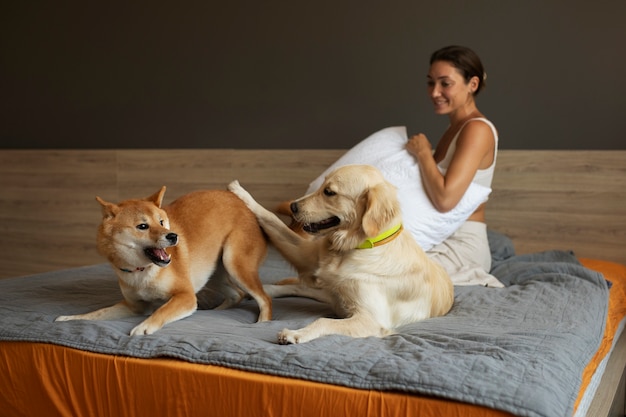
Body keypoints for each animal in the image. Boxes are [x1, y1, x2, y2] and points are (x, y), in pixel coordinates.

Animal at [53, 185, 268, 334]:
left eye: (162, 221)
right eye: (142, 226)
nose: (173, 236)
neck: (141, 272)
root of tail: (241, 202)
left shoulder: (185, 296)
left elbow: (161, 311)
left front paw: (143, 327)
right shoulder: (134, 306)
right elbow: (97, 313)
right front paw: (72, 318)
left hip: (234, 264)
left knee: (263, 299)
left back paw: (262, 323)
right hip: (211, 274)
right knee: (236, 294)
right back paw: (215, 311)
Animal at [227, 164, 450, 342]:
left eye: (329, 192)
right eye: (322, 186)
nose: (293, 206)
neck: (353, 247)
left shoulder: (371, 320)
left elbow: (323, 321)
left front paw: (295, 334)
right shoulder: (306, 256)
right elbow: (271, 218)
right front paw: (241, 193)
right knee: (302, 288)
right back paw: (264, 290)